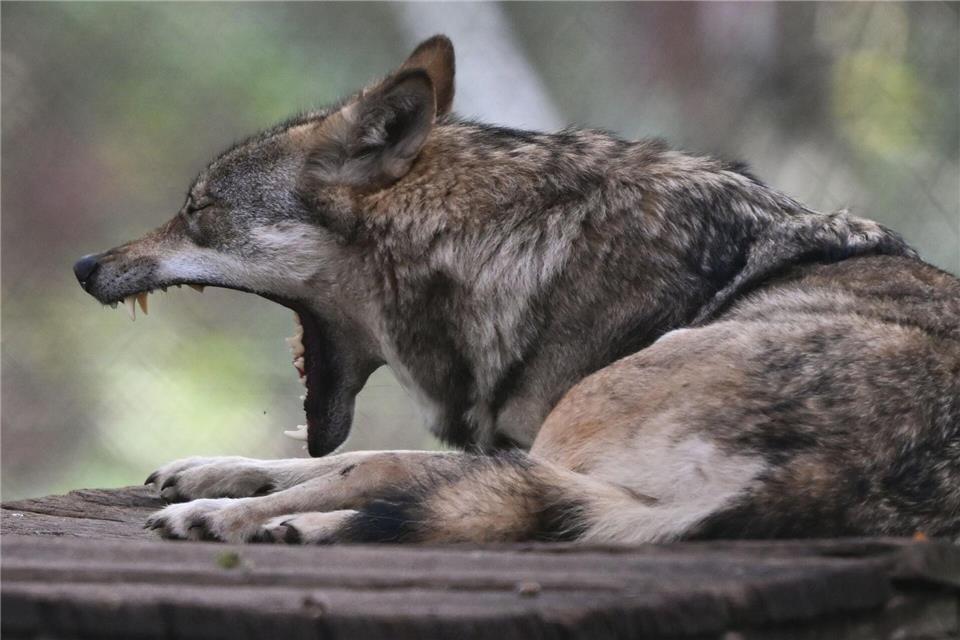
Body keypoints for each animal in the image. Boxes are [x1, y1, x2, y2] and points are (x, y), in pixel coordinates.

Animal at [74, 36, 960, 544]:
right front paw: (214, 470)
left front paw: (219, 504)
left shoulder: (523, 441)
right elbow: (343, 455)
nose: (84, 267)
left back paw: (263, 523)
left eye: (197, 211)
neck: (494, 247)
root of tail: (834, 470)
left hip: (578, 426)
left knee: (414, 487)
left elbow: (368, 462)